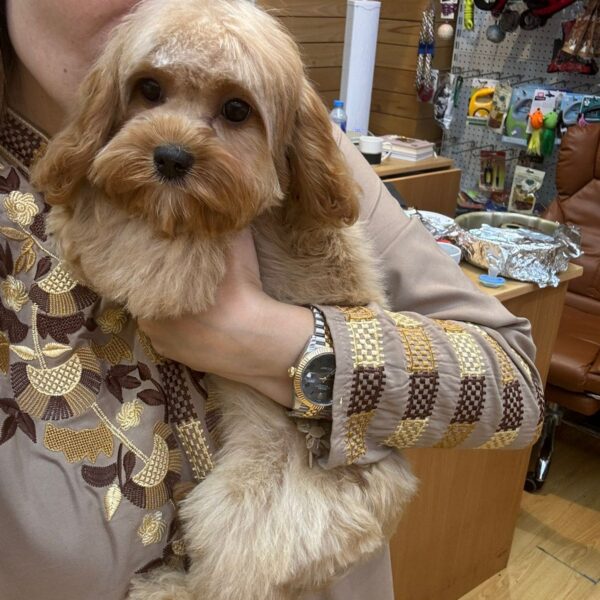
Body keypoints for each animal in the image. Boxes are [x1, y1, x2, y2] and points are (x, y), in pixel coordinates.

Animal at [30, 1, 418, 600]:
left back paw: (164, 587)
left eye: (237, 109)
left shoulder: (174, 264)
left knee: (226, 581)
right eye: (148, 88)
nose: (170, 157)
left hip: (242, 505)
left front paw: (72, 217)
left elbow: (117, 233)